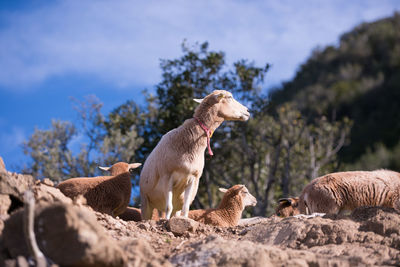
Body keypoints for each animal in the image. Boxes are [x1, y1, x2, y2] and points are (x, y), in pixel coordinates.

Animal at [139, 91, 248, 221]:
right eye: (230, 97)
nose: (247, 111)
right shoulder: (167, 176)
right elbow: (168, 207)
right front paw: (166, 222)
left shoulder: (193, 178)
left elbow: (186, 208)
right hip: (146, 202)